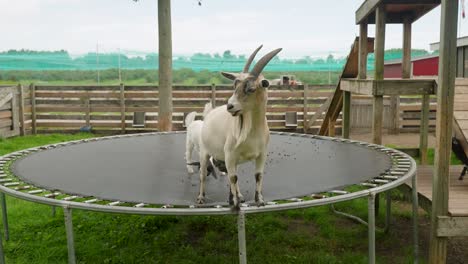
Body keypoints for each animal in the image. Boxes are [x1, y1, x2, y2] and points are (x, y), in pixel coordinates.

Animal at [197, 44, 282, 208]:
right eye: (234, 85)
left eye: (251, 88)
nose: (230, 106)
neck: (252, 133)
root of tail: (210, 112)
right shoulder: (230, 154)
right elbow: (233, 178)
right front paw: (236, 205)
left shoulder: (261, 154)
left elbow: (257, 175)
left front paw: (259, 200)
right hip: (205, 152)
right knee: (203, 175)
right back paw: (201, 198)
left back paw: (239, 196)